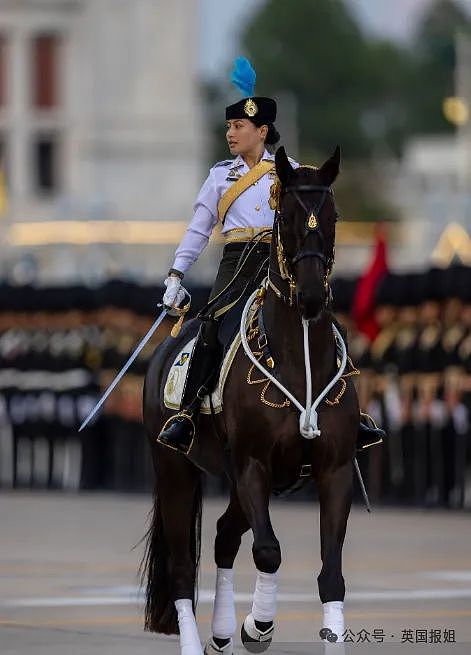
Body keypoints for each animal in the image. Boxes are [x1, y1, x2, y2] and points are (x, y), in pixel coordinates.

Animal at [142, 146, 360, 652]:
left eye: (333, 215)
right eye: (288, 217)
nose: (313, 295)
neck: (298, 357)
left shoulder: (334, 469)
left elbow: (331, 575)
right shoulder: (252, 465)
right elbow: (268, 551)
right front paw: (259, 626)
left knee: (224, 536)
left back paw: (221, 632)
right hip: (175, 470)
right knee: (181, 567)